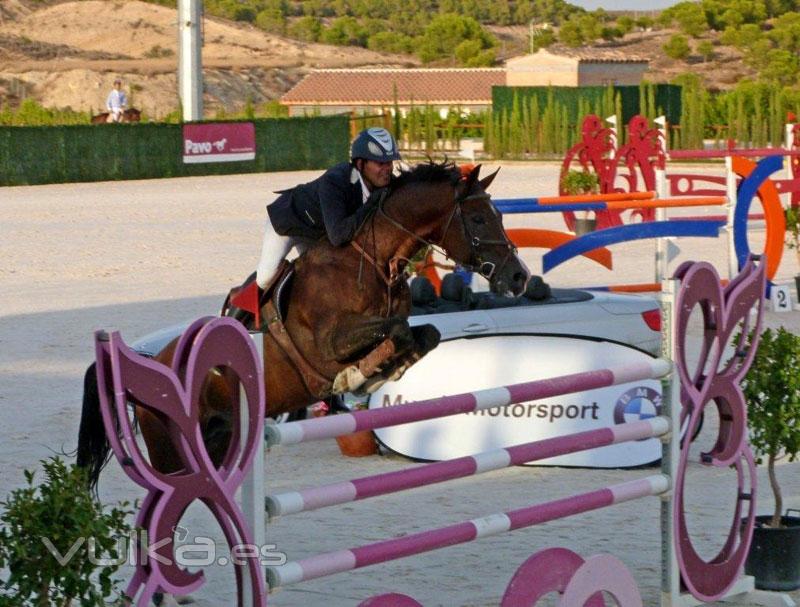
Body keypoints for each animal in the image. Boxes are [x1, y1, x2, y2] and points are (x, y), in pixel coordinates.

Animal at [76, 160, 532, 490]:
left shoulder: (392, 322)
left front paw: (380, 373)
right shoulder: (329, 343)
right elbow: (395, 334)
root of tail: (152, 361)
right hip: (170, 451)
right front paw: (356, 377)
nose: (518, 277)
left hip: (218, 439)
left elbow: (423, 333)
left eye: (498, 215)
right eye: (477, 220)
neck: (373, 262)